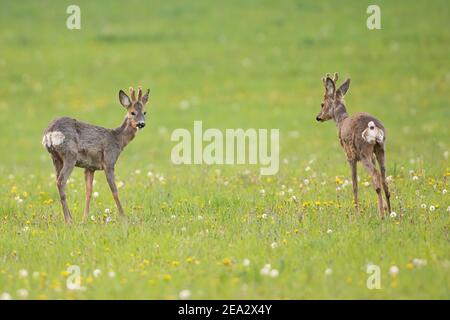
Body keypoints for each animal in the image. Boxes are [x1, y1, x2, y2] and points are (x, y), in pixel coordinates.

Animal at [41, 86, 149, 224]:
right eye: (132, 112)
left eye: (145, 112)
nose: (141, 123)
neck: (118, 139)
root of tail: (49, 132)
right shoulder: (109, 161)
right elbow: (114, 191)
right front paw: (124, 217)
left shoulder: (90, 167)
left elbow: (88, 192)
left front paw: (85, 218)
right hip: (70, 155)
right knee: (61, 181)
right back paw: (69, 221)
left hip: (55, 158)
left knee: (58, 180)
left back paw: (70, 218)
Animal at [314, 72, 392, 218]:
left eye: (322, 104)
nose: (318, 117)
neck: (341, 122)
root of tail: (373, 126)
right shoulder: (371, 155)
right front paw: (383, 207)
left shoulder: (350, 156)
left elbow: (354, 184)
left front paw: (356, 210)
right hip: (380, 148)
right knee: (384, 178)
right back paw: (390, 211)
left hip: (364, 150)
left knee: (376, 176)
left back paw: (381, 215)